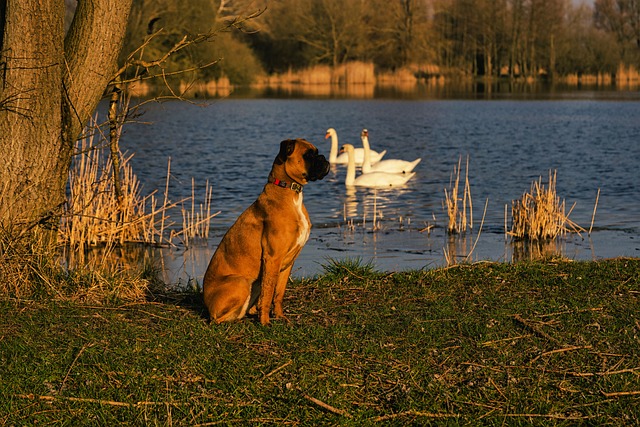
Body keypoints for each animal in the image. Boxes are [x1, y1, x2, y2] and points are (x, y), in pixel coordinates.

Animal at [202, 139, 330, 326]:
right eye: (308, 155)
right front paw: (265, 322)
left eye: (317, 152)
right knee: (217, 319)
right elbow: (268, 293)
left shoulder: (287, 263)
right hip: (241, 282)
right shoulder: (272, 258)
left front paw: (280, 316)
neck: (288, 190)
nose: (324, 158)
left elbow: (278, 293)